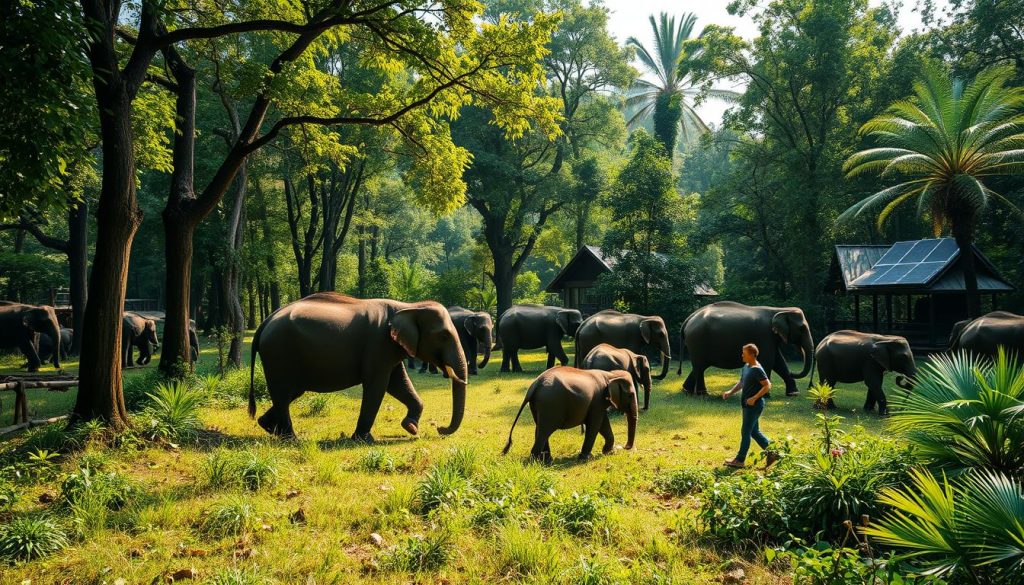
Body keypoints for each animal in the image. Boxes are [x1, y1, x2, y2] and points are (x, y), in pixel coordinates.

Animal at [248, 293, 467, 441]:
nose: (439, 429)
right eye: (444, 335)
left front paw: (410, 427)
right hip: (278, 352)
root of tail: (265, 322)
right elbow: (378, 386)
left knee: (290, 392)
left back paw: (268, 427)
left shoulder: (390, 348)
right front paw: (364, 440)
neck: (408, 307)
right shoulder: (378, 344)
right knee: (283, 392)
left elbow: (398, 384)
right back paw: (291, 439)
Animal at [502, 366, 637, 462]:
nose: (625, 447)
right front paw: (586, 458)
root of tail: (534, 386)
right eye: (631, 395)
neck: (610, 374)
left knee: (539, 429)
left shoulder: (598, 402)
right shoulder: (598, 400)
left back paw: (547, 461)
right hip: (550, 404)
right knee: (544, 431)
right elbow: (595, 425)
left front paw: (608, 452)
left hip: (537, 406)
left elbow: (604, 424)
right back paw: (536, 463)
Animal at [678, 301, 814, 396]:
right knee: (700, 367)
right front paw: (766, 395)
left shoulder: (770, 339)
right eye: (802, 328)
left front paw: (793, 394)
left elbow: (779, 362)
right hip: (697, 341)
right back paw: (702, 394)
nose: (809, 386)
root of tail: (688, 319)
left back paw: (686, 391)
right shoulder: (764, 335)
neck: (780, 310)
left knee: (698, 366)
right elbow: (768, 361)